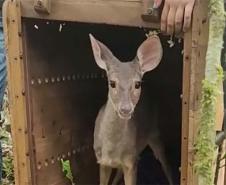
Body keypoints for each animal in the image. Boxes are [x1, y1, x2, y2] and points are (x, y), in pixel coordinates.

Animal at [88, 33, 173, 185]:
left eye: (137, 84)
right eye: (112, 83)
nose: (125, 109)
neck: (112, 149)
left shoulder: (131, 161)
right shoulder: (102, 160)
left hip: (154, 132)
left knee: (166, 164)